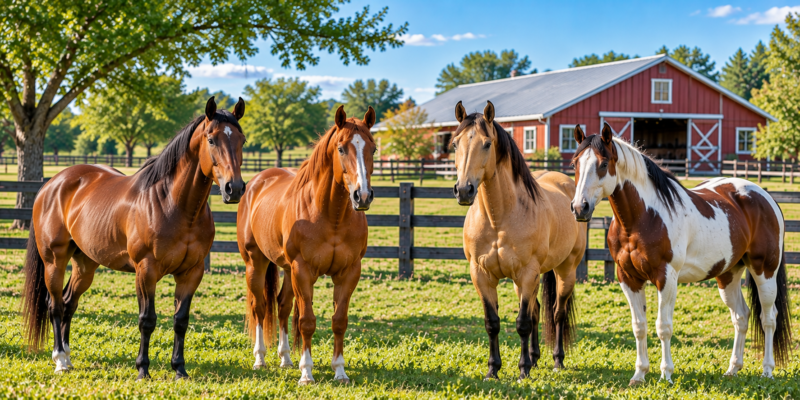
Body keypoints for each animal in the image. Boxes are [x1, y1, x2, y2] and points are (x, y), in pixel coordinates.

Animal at [21, 97, 247, 380]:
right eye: (211, 139)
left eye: (242, 140)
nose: (234, 188)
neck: (174, 204)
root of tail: (52, 184)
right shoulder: (146, 270)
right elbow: (146, 320)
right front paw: (142, 370)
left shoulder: (191, 272)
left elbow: (181, 320)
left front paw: (179, 369)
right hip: (54, 261)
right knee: (55, 306)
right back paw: (60, 360)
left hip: (85, 264)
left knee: (69, 303)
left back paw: (69, 358)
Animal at [238, 105, 376, 385]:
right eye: (341, 148)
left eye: (373, 149)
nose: (363, 196)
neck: (330, 216)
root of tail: (257, 182)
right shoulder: (303, 271)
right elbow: (307, 321)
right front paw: (307, 373)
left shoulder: (348, 273)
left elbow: (339, 321)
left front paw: (340, 371)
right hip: (256, 263)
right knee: (260, 307)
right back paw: (260, 359)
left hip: (287, 270)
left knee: (282, 307)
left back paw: (286, 358)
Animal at [451, 101, 587, 380]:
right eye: (455, 144)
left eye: (487, 144)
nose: (464, 190)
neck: (498, 218)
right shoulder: (481, 275)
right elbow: (493, 323)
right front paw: (493, 370)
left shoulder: (526, 274)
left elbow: (522, 323)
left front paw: (523, 370)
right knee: (536, 310)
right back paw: (535, 358)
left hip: (565, 270)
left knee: (557, 313)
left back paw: (557, 361)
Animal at [570, 123, 792, 384]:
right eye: (575, 163)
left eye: (604, 164)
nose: (579, 208)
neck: (643, 217)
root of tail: (766, 197)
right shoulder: (629, 278)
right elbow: (639, 326)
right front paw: (639, 374)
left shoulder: (666, 278)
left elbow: (663, 326)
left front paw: (665, 374)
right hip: (728, 274)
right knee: (741, 316)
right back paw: (733, 368)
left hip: (765, 270)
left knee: (769, 318)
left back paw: (767, 370)